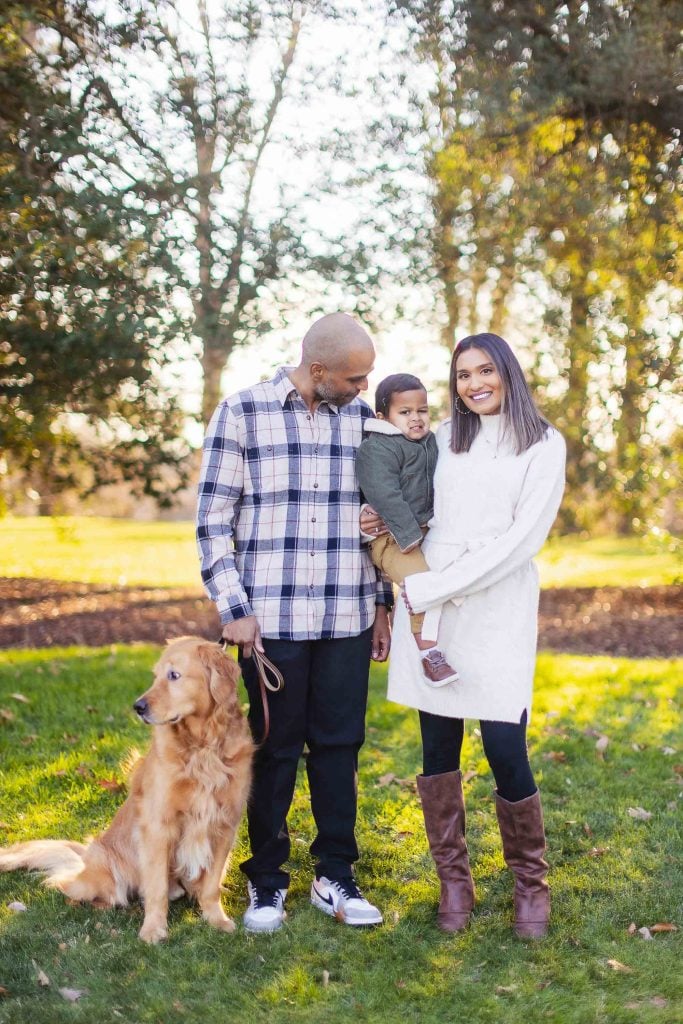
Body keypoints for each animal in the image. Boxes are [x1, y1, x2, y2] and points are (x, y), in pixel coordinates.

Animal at [0, 638, 254, 942]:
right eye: (155, 675)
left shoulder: (225, 824)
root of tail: (84, 859)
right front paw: (153, 929)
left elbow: (211, 885)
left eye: (173, 675)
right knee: (73, 889)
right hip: (101, 872)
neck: (203, 748)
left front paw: (216, 919)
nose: (138, 707)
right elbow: (156, 888)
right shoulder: (158, 826)